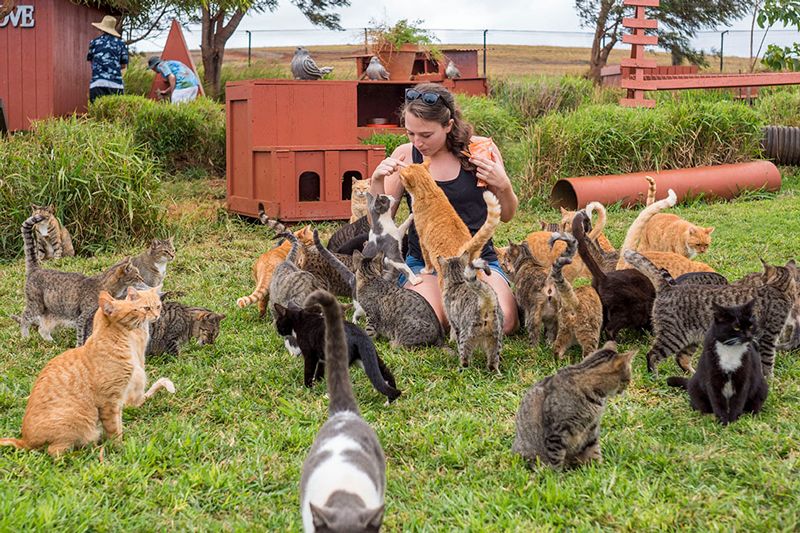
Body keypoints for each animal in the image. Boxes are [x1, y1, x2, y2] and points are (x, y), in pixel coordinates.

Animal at [0, 286, 162, 458]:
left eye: (145, 307)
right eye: (136, 309)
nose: (151, 315)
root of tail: (24, 440)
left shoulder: (117, 400)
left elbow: (118, 424)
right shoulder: (109, 401)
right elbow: (114, 429)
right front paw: (119, 448)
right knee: (55, 452)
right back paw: (92, 450)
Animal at [16, 215, 145, 344]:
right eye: (137, 276)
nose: (143, 279)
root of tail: (36, 269)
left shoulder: (91, 318)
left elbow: (88, 334)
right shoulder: (82, 317)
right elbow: (81, 336)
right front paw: (81, 346)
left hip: (50, 311)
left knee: (42, 329)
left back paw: (51, 341)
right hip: (35, 305)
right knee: (24, 318)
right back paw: (25, 337)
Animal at [628, 250, 796, 378]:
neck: (779, 289)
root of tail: (668, 288)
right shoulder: (768, 337)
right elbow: (767, 362)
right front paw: (770, 381)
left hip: (691, 338)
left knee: (681, 358)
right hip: (673, 336)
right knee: (652, 355)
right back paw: (655, 377)